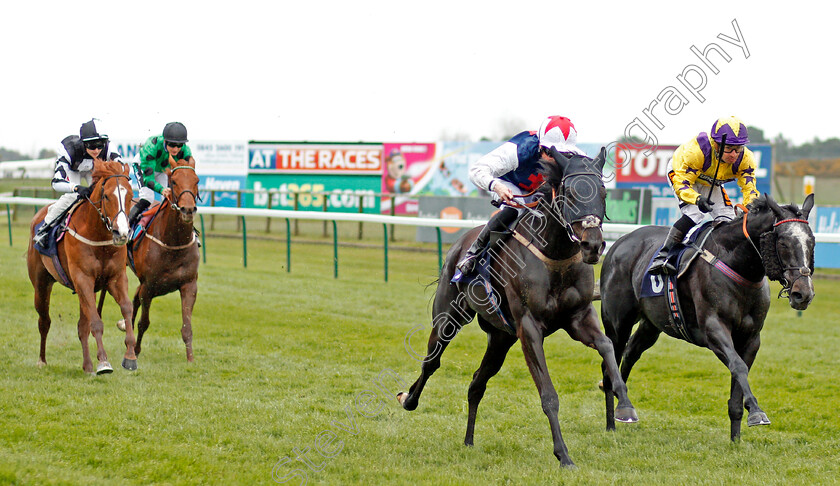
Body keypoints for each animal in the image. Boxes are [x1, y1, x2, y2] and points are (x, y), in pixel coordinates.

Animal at [26, 161, 136, 374]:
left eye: (130, 195)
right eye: (106, 196)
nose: (122, 233)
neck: (98, 237)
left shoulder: (116, 278)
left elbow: (127, 308)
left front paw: (130, 357)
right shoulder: (83, 278)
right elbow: (96, 322)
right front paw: (104, 362)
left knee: (81, 326)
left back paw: (87, 366)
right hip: (41, 284)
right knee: (44, 321)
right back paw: (42, 360)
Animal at [127, 158, 201, 362]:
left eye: (197, 180)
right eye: (173, 182)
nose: (188, 209)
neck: (173, 242)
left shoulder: (189, 285)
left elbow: (187, 327)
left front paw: (191, 360)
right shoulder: (149, 286)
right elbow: (144, 322)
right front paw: (136, 351)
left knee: (133, 299)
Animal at [398, 148, 636, 468]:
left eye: (602, 191)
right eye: (570, 192)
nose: (593, 244)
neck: (555, 256)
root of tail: (459, 244)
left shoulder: (578, 318)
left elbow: (607, 346)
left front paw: (625, 407)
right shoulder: (529, 328)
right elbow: (548, 395)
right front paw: (563, 455)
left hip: (501, 338)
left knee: (477, 383)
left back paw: (469, 440)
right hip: (449, 317)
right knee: (431, 361)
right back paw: (409, 399)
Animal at [600, 193, 816, 440]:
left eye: (812, 242)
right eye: (783, 242)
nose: (803, 293)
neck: (738, 266)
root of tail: (619, 243)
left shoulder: (751, 338)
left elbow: (737, 385)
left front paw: (736, 439)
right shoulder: (713, 330)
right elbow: (738, 366)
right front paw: (756, 411)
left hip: (651, 325)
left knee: (630, 355)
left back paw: (623, 406)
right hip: (617, 323)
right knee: (610, 365)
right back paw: (613, 421)